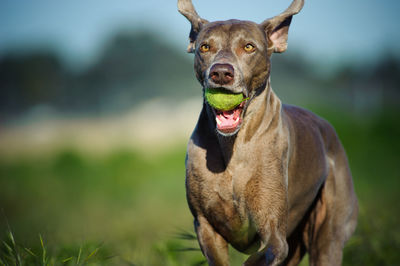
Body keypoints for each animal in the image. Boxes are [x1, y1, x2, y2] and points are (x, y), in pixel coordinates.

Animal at [179, 0, 360, 264]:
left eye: (249, 47)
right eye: (205, 46)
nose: (221, 72)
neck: (233, 147)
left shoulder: (273, 230)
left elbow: (265, 252)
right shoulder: (205, 226)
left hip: (329, 235)